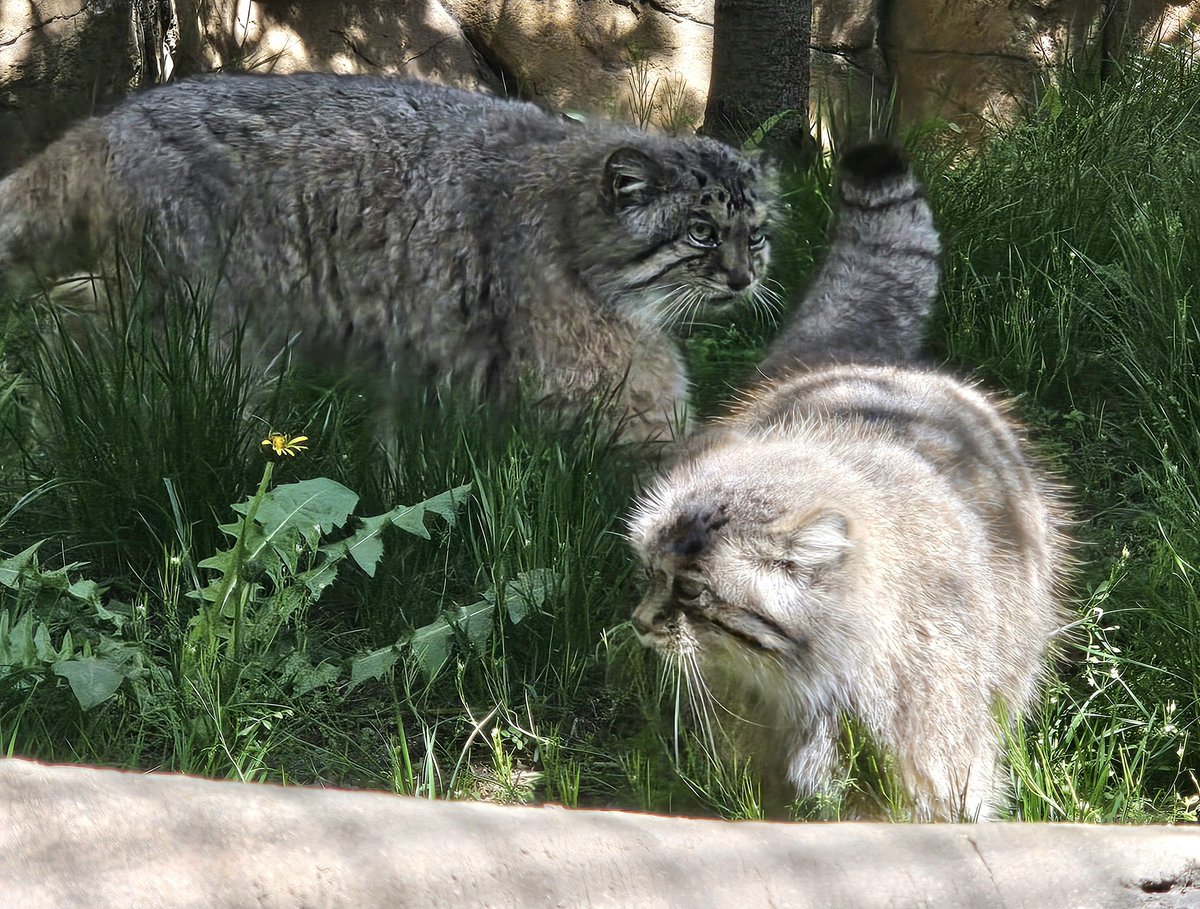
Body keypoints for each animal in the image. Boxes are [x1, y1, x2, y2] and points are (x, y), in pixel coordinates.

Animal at [0, 72, 777, 443]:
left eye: (756, 234)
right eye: (701, 233)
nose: (745, 278)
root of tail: (104, 124)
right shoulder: (600, 383)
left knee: (66, 308)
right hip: (204, 322)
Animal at [628, 145, 1070, 820]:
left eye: (694, 591)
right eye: (651, 572)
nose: (641, 622)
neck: (801, 683)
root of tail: (859, 366)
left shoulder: (938, 753)